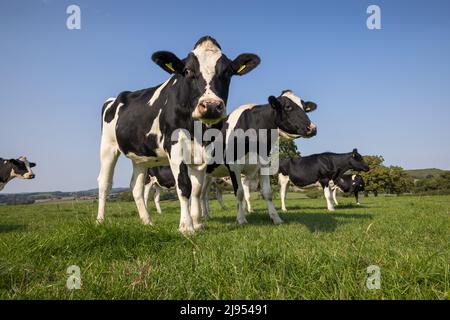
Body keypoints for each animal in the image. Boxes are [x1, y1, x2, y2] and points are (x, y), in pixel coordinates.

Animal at [98, 36, 260, 234]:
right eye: (187, 71)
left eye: (227, 72)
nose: (211, 105)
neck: (198, 132)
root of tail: (116, 98)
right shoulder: (175, 147)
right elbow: (184, 186)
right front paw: (186, 226)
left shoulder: (204, 153)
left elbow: (196, 190)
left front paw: (198, 223)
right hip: (108, 147)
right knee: (104, 183)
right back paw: (100, 220)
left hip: (141, 158)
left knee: (136, 187)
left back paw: (147, 221)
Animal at [202, 90, 318, 224]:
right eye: (288, 107)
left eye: (305, 108)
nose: (313, 128)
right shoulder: (234, 166)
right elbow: (240, 193)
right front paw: (241, 219)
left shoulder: (263, 163)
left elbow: (267, 192)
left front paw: (276, 218)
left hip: (209, 175)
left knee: (204, 195)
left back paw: (206, 215)